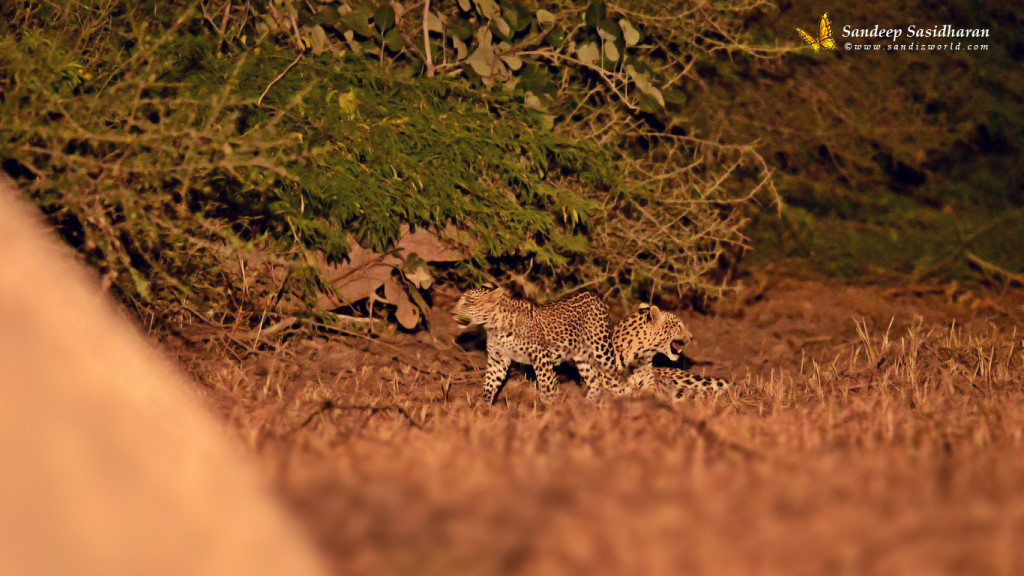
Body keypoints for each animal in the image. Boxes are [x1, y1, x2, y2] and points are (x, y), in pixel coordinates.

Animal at [454, 284, 614, 401]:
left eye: (467, 303)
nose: (452, 313)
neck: (494, 327)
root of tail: (594, 294)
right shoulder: (497, 361)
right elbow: (489, 384)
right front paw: (484, 409)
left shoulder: (541, 356)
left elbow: (546, 386)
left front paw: (550, 410)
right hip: (582, 357)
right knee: (595, 382)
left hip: (601, 349)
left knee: (615, 377)